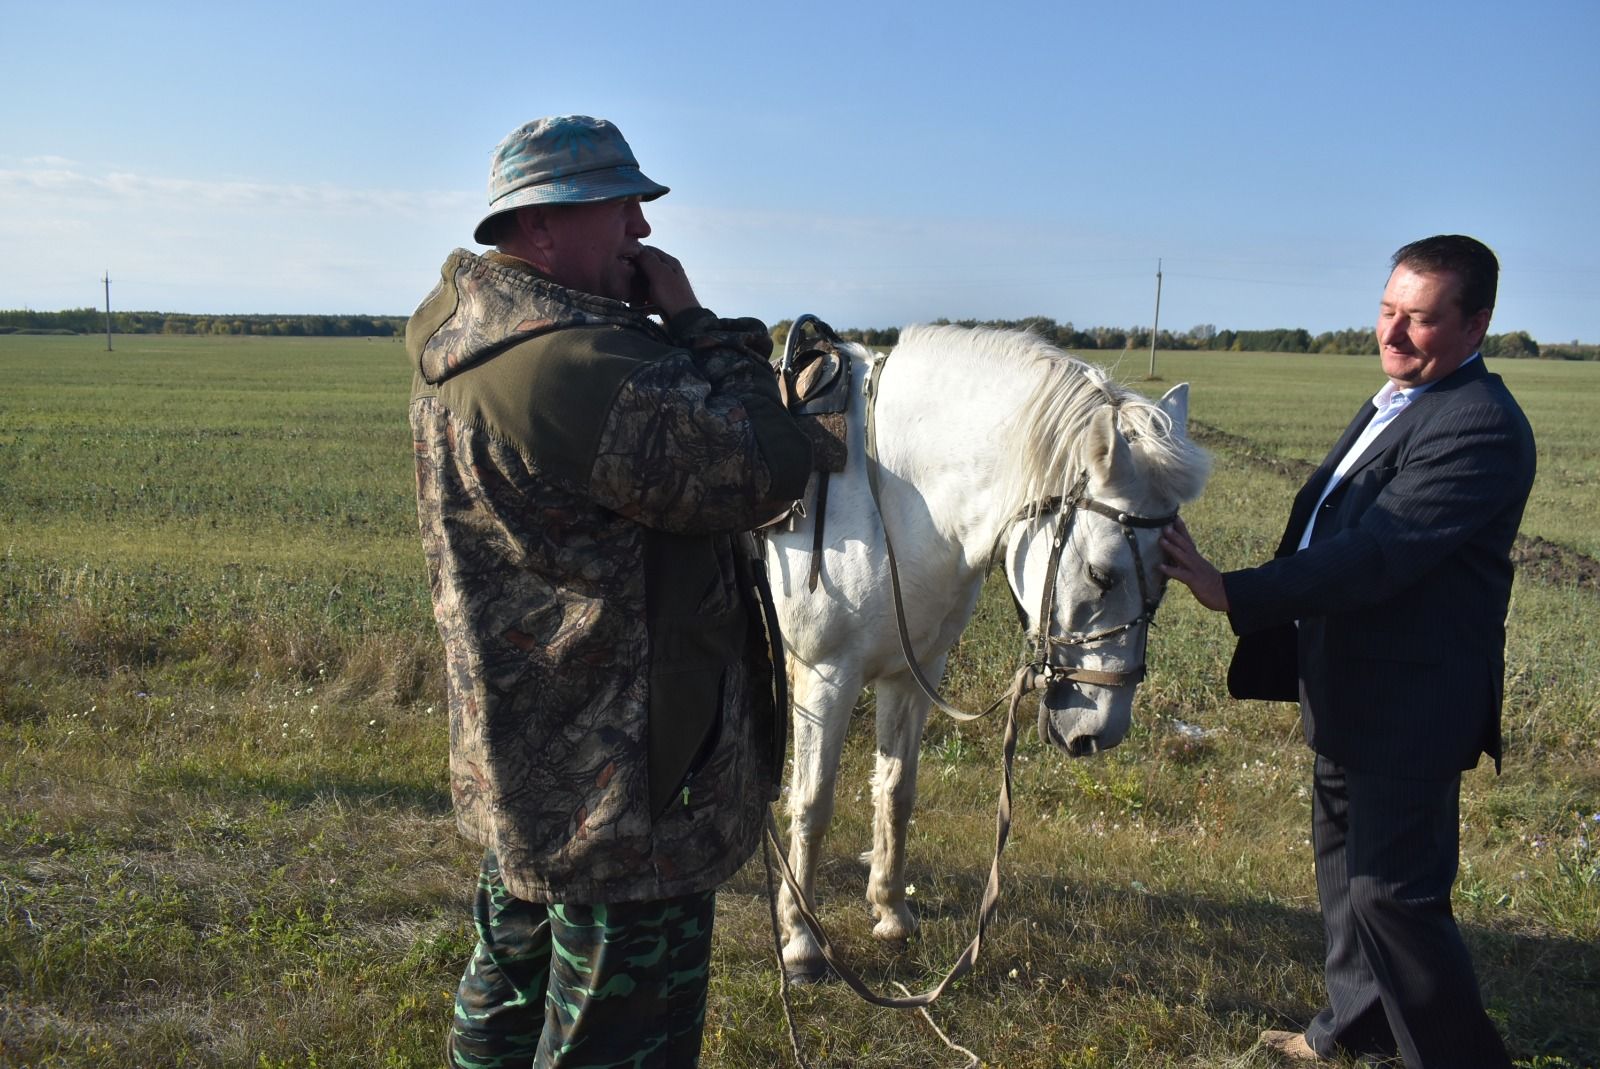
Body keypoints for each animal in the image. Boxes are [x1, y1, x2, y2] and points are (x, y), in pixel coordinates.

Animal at [768, 321, 1203, 979]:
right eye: (1102, 575)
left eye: (1170, 577)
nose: (1101, 732)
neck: (890, 496)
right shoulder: (826, 677)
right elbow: (813, 804)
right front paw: (800, 940)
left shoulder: (912, 674)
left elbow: (896, 790)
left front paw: (891, 912)